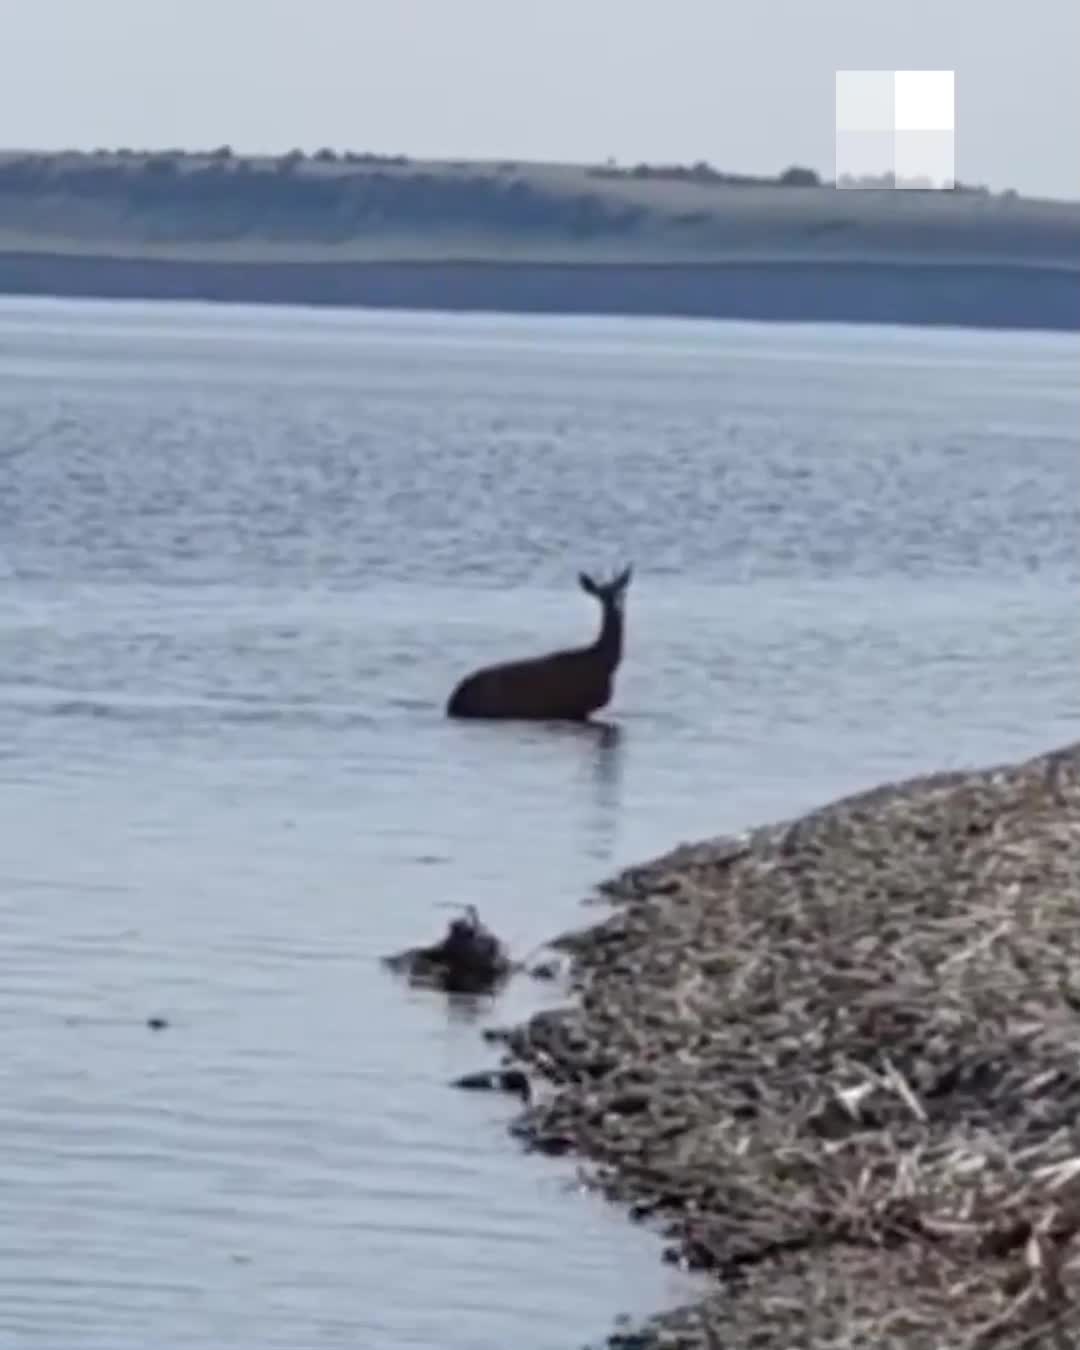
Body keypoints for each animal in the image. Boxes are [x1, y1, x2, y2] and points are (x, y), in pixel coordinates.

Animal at [445, 564, 631, 723]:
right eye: (602, 596)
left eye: (622, 592)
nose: (618, 607)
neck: (604, 662)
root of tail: (452, 701)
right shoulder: (576, 707)